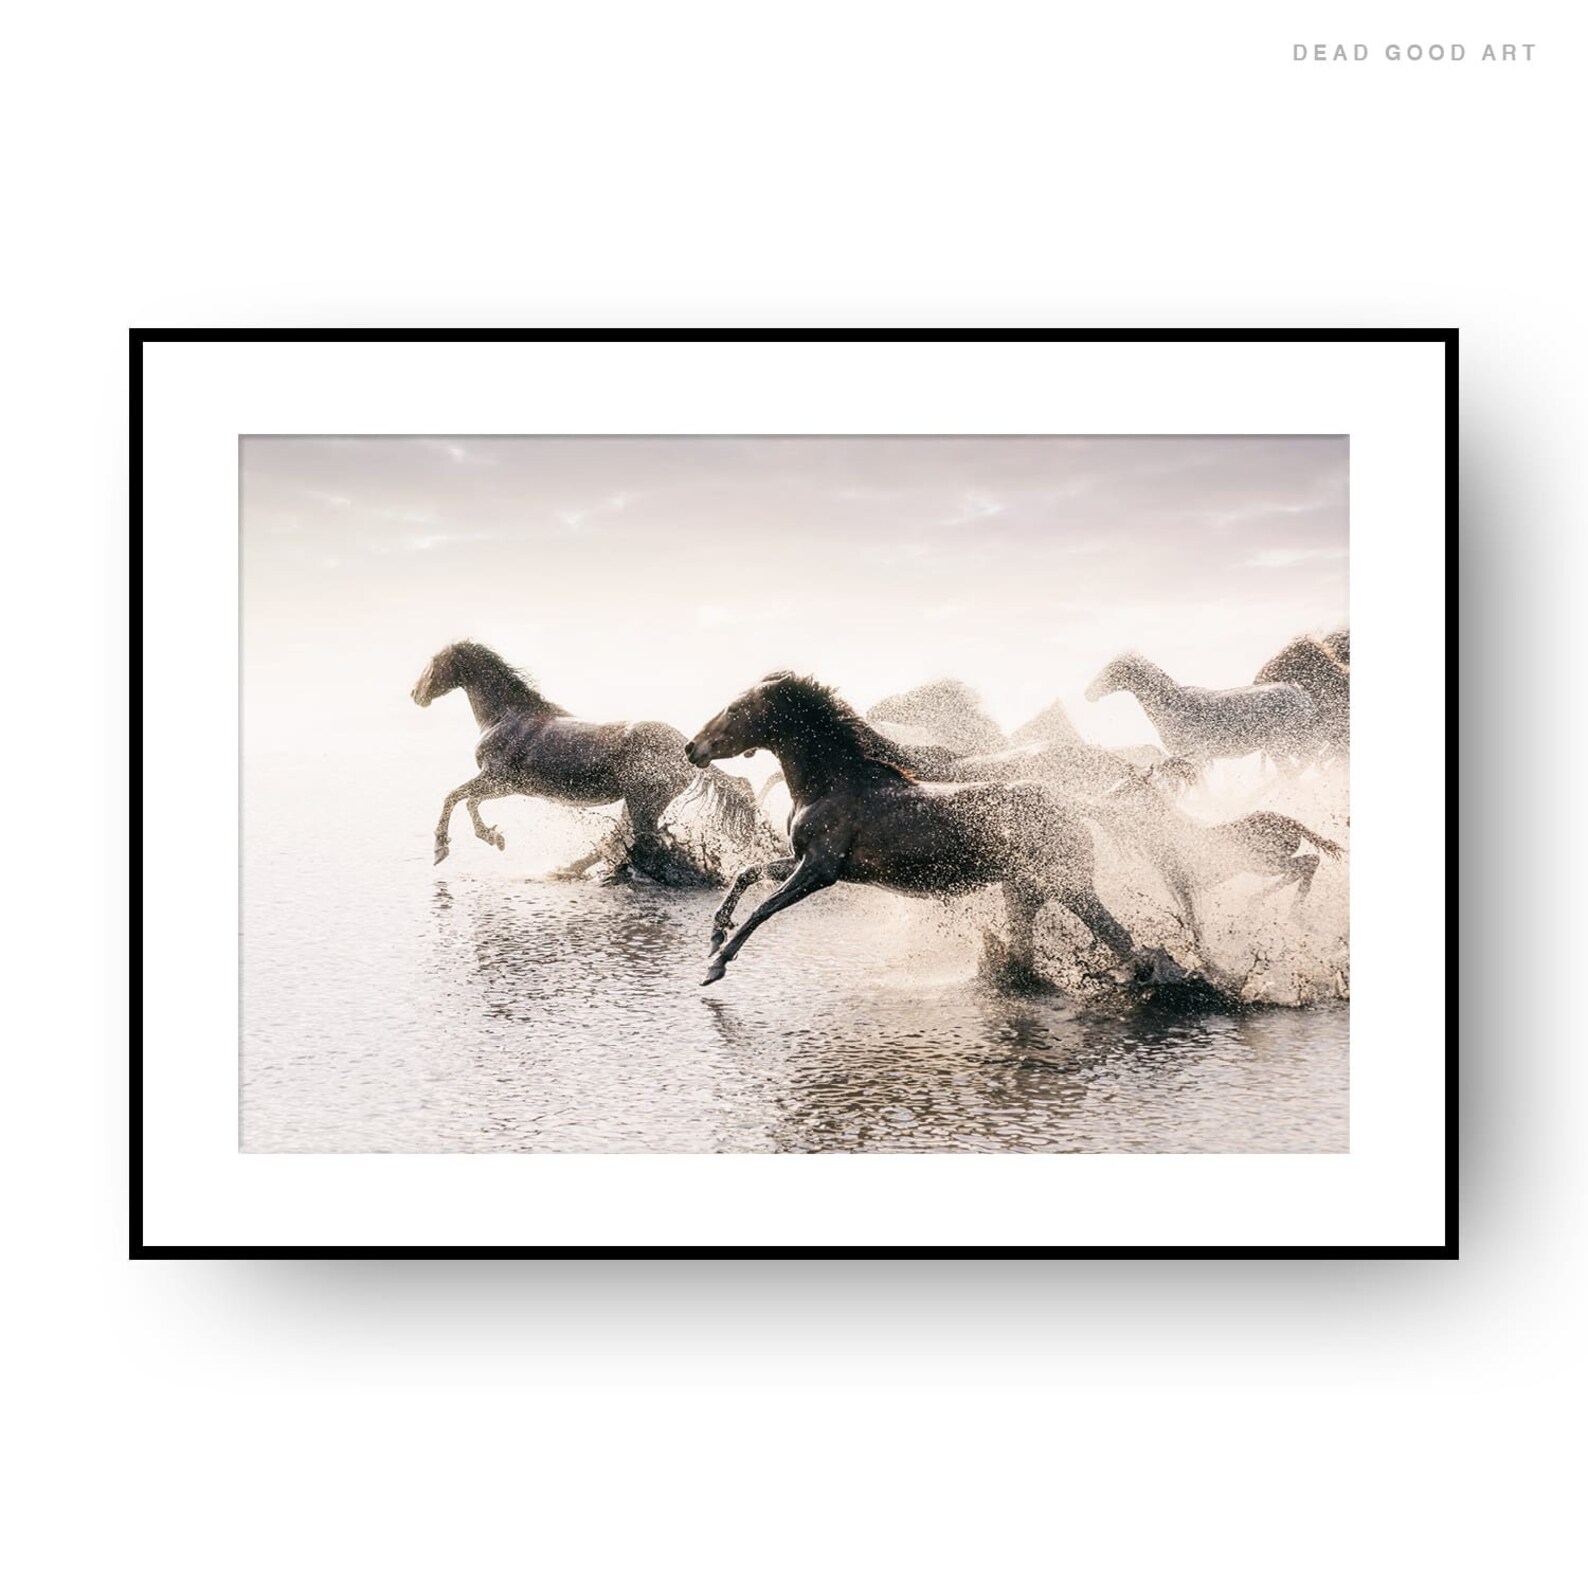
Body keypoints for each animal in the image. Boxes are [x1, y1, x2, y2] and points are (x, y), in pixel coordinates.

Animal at [411, 641, 762, 884]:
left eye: (433, 663)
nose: (415, 694)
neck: (505, 715)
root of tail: (687, 749)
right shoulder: (507, 786)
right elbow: (470, 801)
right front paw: (494, 837)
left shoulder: (498, 779)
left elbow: (454, 796)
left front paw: (441, 849)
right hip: (638, 801)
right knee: (622, 837)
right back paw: (569, 870)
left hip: (644, 800)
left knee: (639, 840)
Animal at [684, 672, 1186, 990]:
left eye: (734, 708)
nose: (693, 747)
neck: (830, 782)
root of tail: (1074, 805)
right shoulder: (803, 861)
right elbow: (747, 873)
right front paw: (714, 934)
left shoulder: (820, 870)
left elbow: (763, 908)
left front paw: (715, 966)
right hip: (1023, 891)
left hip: (1070, 886)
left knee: (1122, 940)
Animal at [1084, 652, 1317, 772]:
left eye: (1111, 671)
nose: (1087, 693)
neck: (1170, 705)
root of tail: (1302, 695)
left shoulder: (1195, 757)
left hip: (1284, 746)